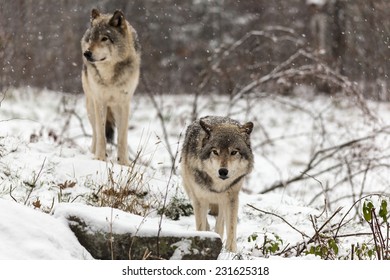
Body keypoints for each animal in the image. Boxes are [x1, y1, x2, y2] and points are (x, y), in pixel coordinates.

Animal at [79, 8, 140, 165]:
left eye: (104, 38)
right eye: (91, 38)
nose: (87, 53)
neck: (109, 77)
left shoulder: (124, 103)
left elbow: (122, 137)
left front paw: (123, 162)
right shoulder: (100, 101)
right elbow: (101, 134)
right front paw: (100, 158)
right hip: (90, 106)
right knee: (95, 132)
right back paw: (93, 152)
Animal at [181, 116, 254, 252]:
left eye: (234, 152)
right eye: (215, 152)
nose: (223, 171)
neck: (217, 186)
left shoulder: (231, 198)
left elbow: (231, 228)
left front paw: (231, 251)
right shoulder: (199, 199)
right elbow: (200, 225)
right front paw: (202, 240)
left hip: (223, 202)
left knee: (220, 223)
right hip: (190, 191)